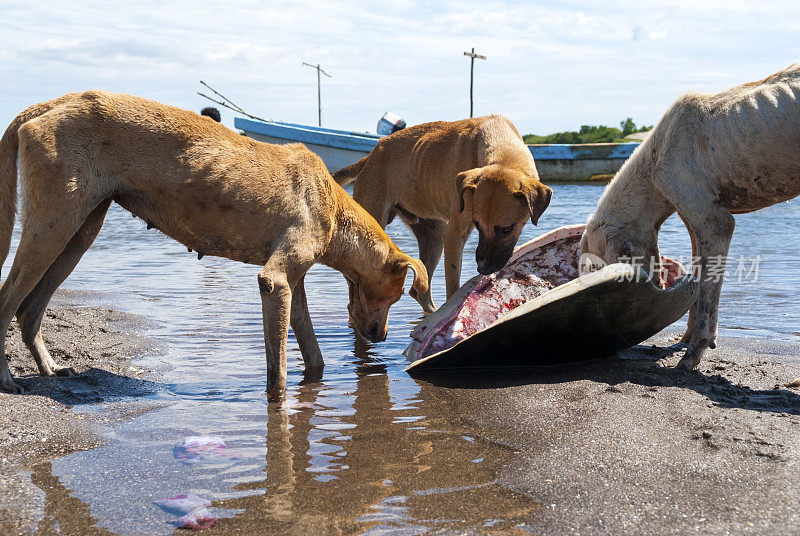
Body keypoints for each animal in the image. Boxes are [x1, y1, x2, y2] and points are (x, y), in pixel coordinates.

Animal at [0, 92, 428, 400]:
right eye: (395, 297)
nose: (381, 339)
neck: (334, 208)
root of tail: (50, 104)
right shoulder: (275, 281)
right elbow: (278, 370)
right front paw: (279, 405)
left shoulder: (294, 284)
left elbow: (313, 353)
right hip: (53, 225)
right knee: (8, 301)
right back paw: (7, 379)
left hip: (79, 231)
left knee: (29, 310)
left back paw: (49, 369)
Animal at [334, 115, 552, 312]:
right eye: (478, 225)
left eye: (507, 229)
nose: (482, 269)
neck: (504, 153)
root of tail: (368, 158)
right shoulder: (455, 233)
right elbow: (453, 286)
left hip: (434, 238)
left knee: (419, 292)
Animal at [580, 65, 800, 370]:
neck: (654, 161)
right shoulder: (690, 215)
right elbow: (697, 277)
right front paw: (683, 340)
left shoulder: (710, 218)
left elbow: (709, 281)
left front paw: (689, 358)